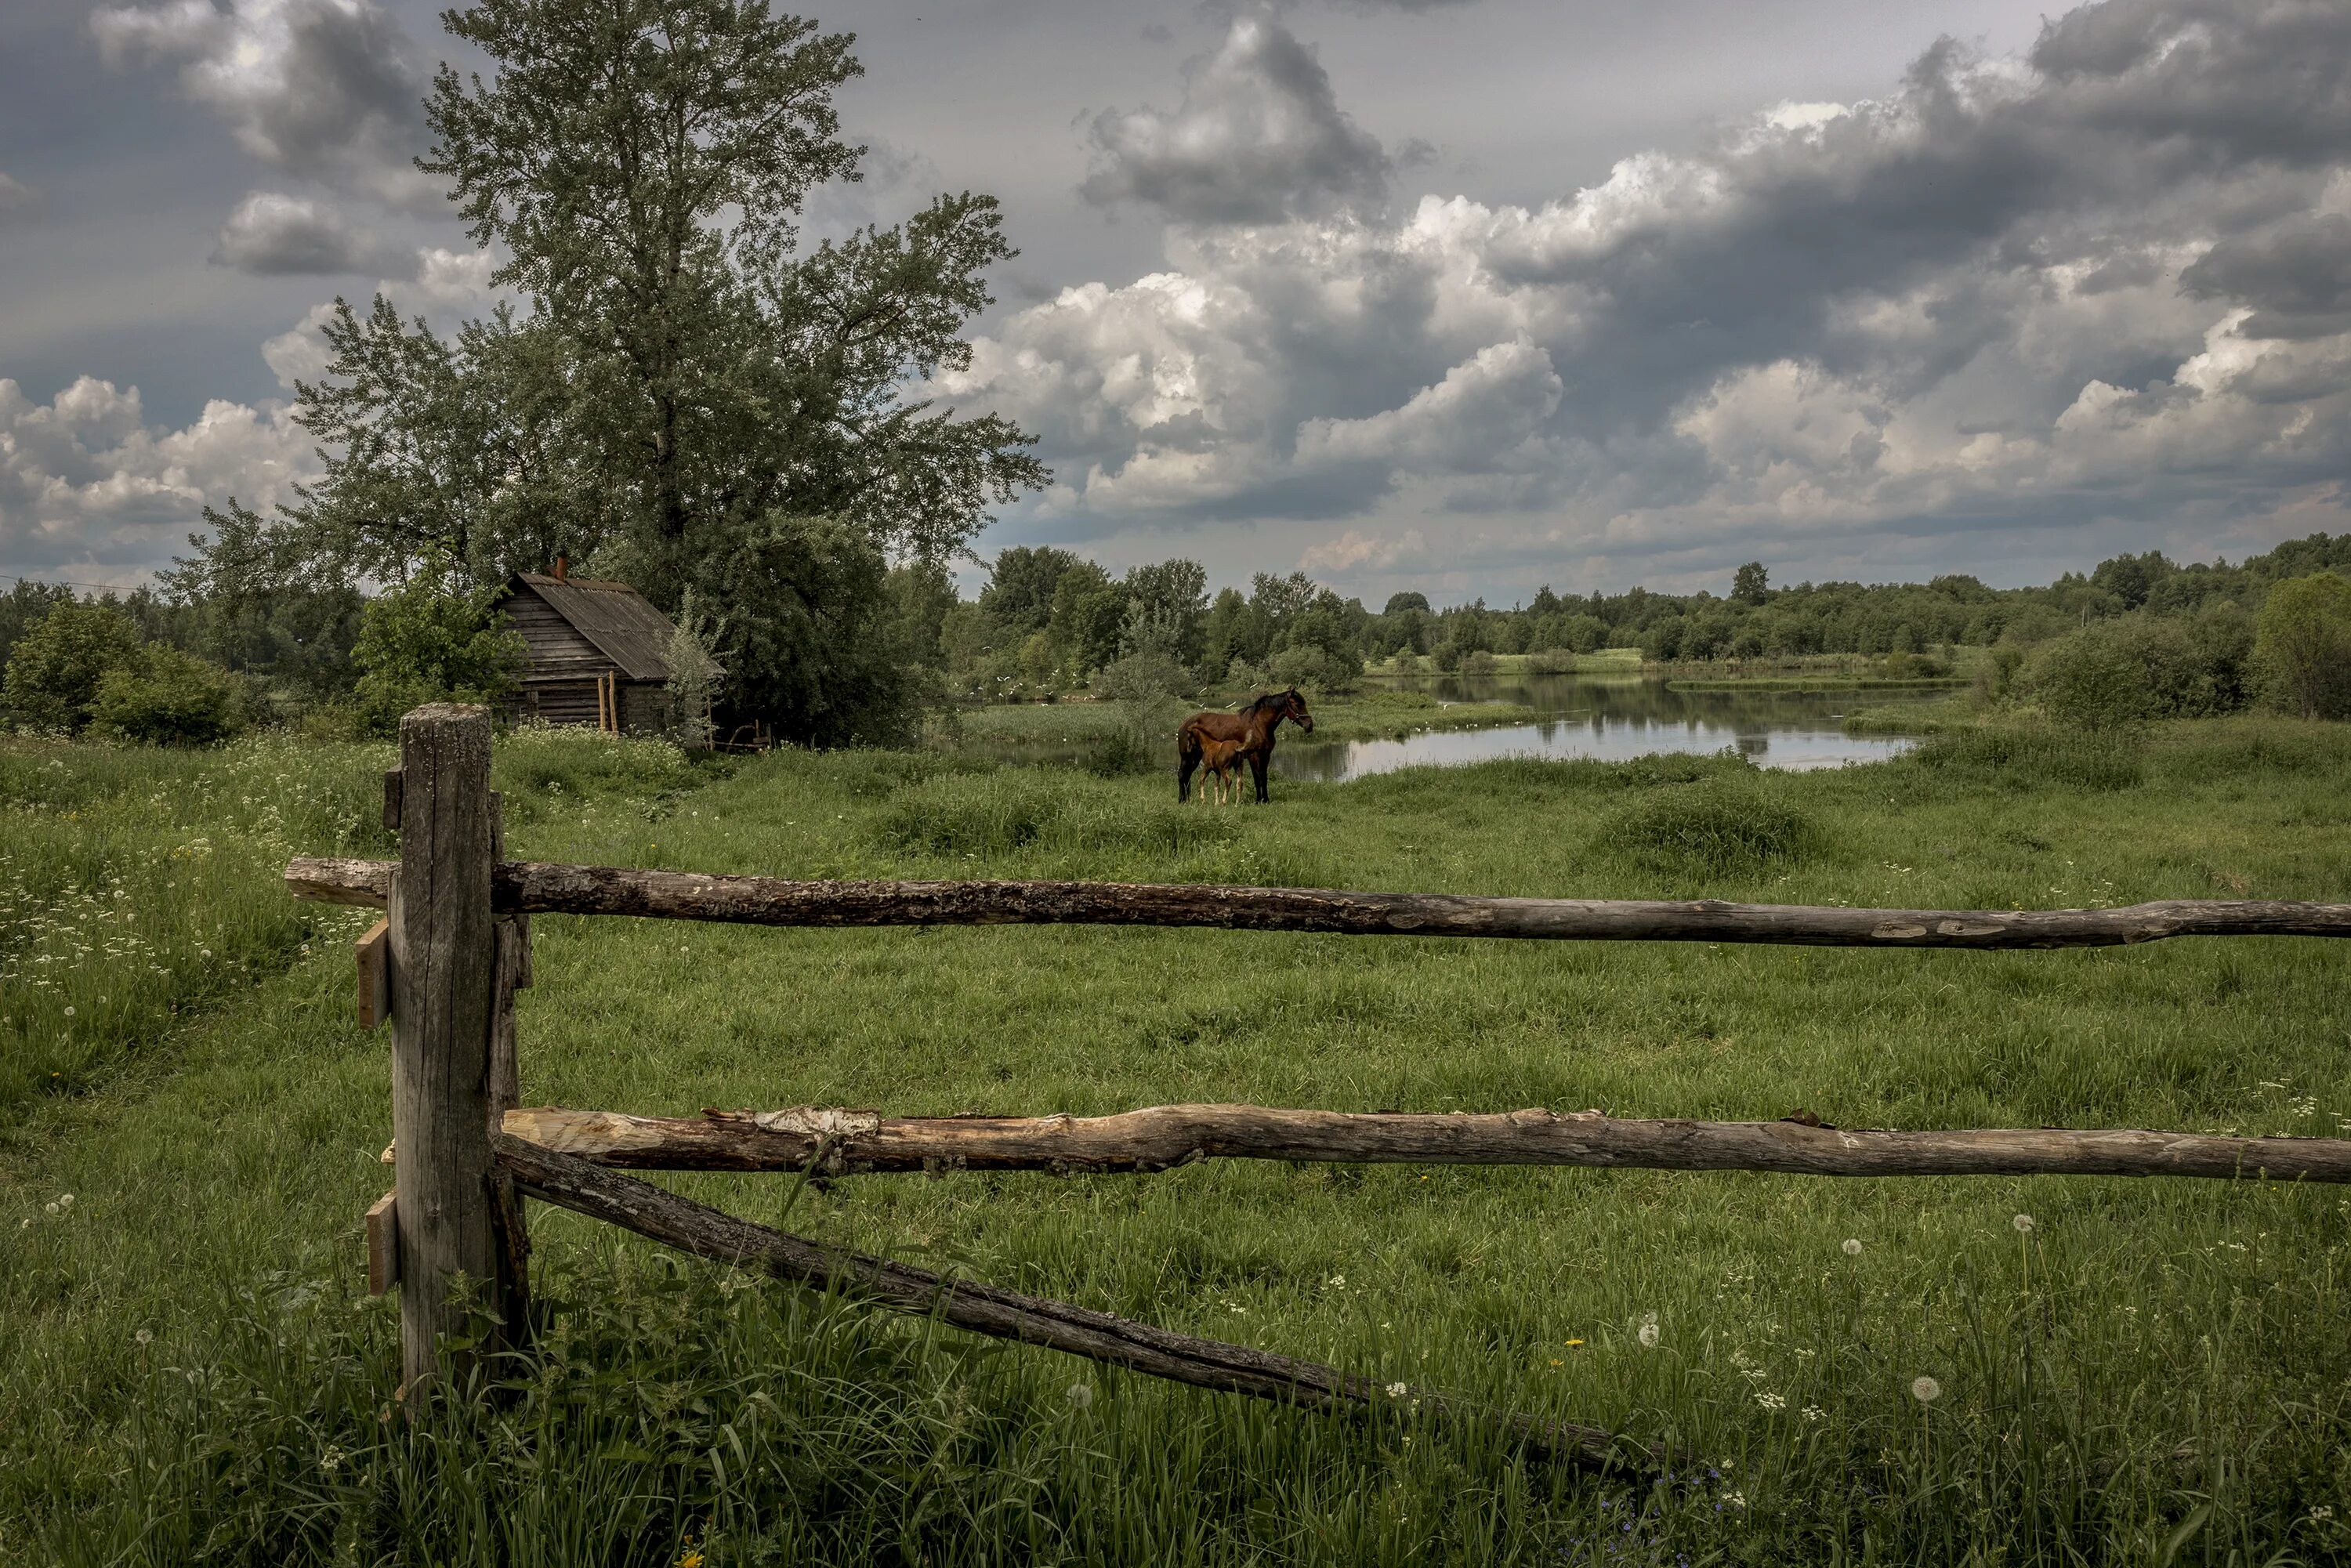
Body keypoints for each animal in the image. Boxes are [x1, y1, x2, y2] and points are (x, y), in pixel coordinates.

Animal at [1185, 691, 1317, 804]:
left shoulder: (1265, 756)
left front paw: (1266, 800)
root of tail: (1186, 723)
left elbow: (1264, 778)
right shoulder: (1253, 756)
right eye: (1298, 704)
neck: (1259, 725)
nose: (1309, 725)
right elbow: (1257, 779)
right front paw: (1258, 800)